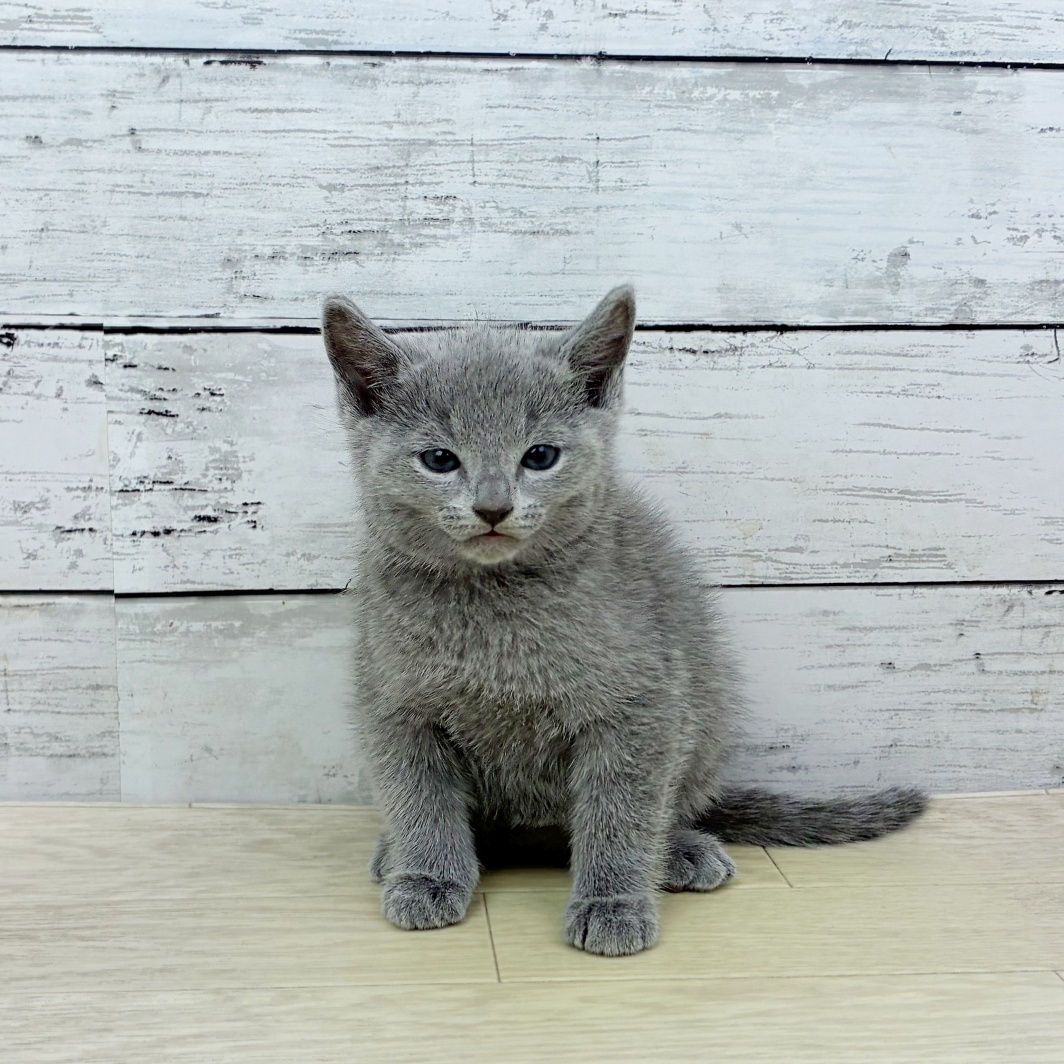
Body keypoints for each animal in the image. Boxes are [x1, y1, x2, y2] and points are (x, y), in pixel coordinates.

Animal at [322, 286, 926, 957]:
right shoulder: (395, 702)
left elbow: (622, 807)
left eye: (540, 456)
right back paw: (399, 855)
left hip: (706, 719)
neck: (497, 605)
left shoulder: (642, 703)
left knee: (668, 806)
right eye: (438, 459)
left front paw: (613, 902)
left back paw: (679, 852)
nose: (493, 507)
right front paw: (428, 876)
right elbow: (418, 794)